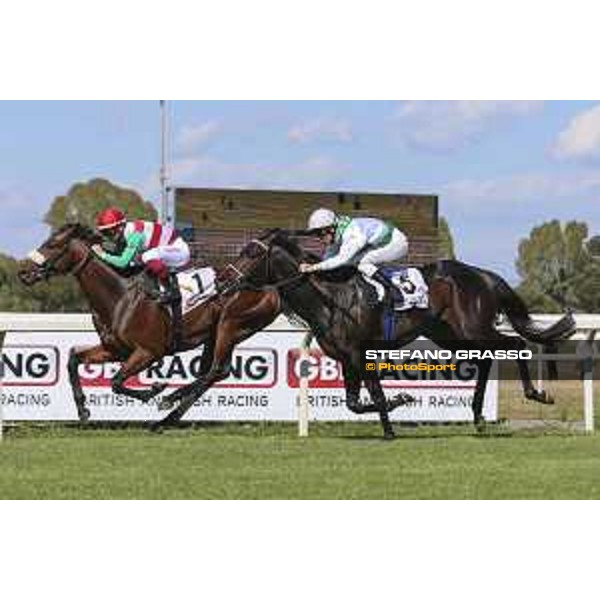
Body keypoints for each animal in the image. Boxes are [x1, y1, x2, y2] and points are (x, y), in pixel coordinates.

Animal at [17, 223, 280, 424]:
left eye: (53, 245)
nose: (23, 272)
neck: (120, 297)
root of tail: (269, 288)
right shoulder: (116, 350)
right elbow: (73, 360)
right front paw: (82, 409)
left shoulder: (148, 352)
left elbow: (116, 382)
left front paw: (154, 389)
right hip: (214, 333)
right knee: (211, 372)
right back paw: (172, 407)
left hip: (231, 325)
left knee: (217, 370)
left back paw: (168, 409)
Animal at [229, 229, 572, 436]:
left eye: (251, 253)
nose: (225, 279)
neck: (330, 297)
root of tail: (484, 275)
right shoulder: (346, 358)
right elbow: (354, 403)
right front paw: (397, 407)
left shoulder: (360, 352)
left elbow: (375, 395)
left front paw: (394, 418)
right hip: (450, 335)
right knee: (486, 358)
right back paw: (476, 416)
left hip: (473, 327)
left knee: (515, 343)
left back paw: (536, 393)